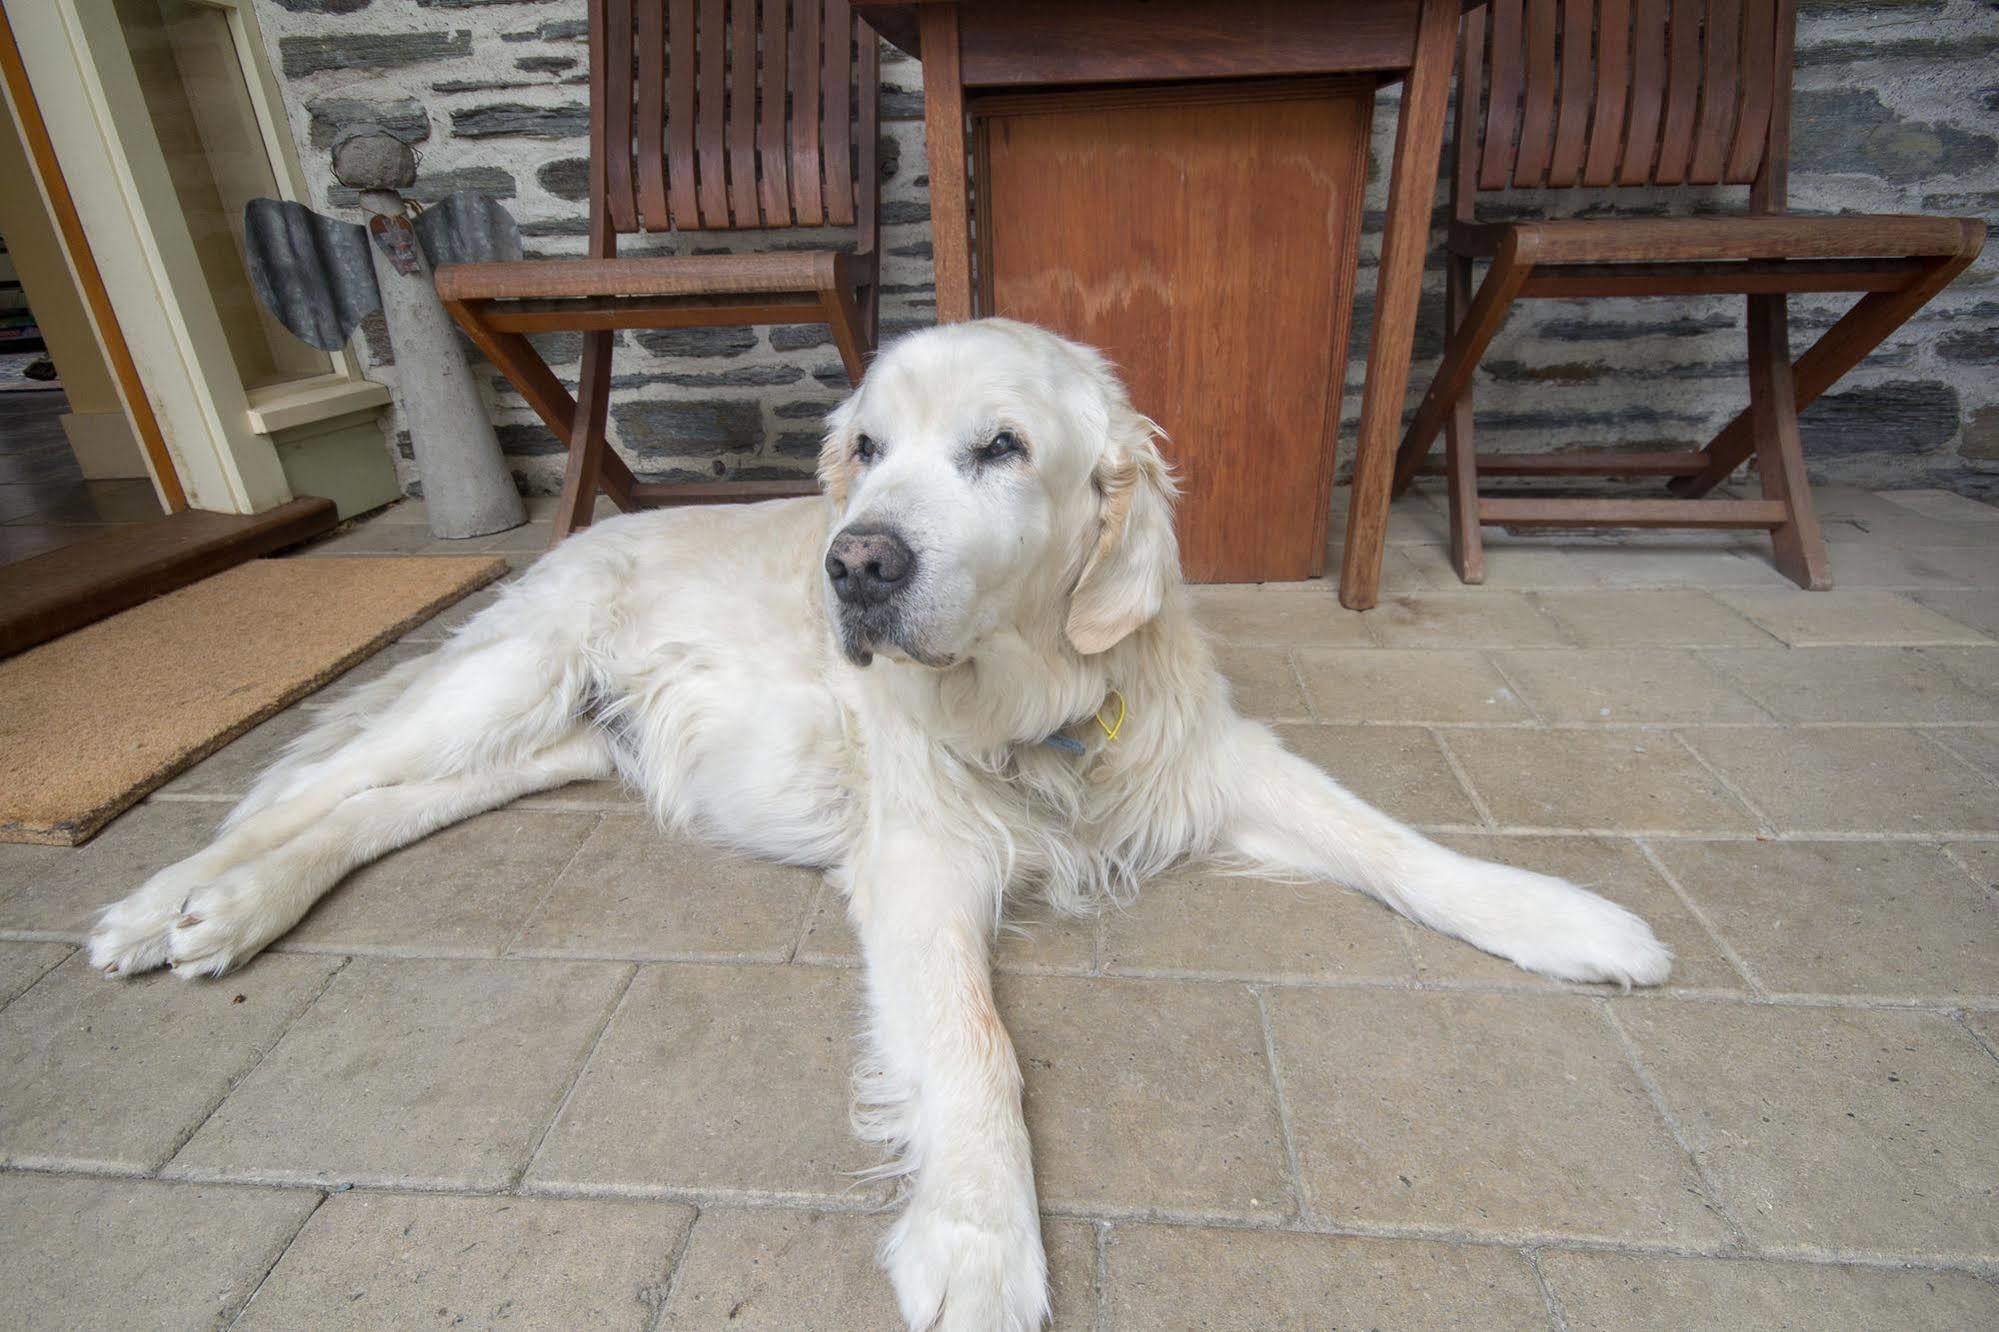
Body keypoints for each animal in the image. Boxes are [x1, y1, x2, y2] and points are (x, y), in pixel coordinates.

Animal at [89, 316, 1671, 1320]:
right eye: (861, 447)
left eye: (999, 448)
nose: (853, 565)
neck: (1038, 709)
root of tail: (586, 524)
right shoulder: (919, 864)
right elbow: (974, 1054)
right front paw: (978, 1244)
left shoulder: (1210, 761)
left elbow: (1402, 846)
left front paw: (1565, 919)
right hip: (507, 680)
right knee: (307, 783)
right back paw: (174, 899)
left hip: (555, 749)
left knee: (369, 810)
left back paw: (234, 905)